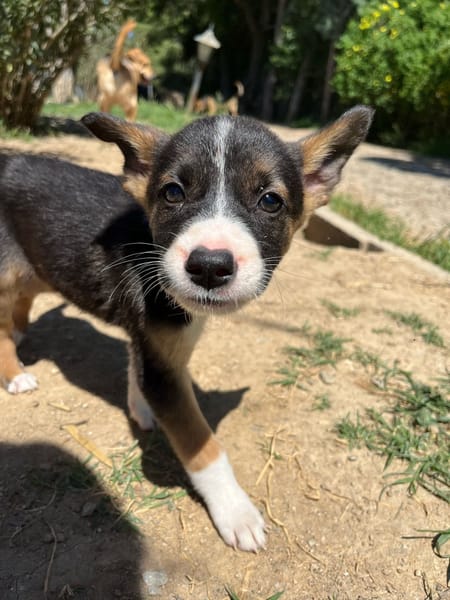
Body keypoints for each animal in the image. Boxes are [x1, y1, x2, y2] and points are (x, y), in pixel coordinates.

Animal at [0, 106, 373, 551]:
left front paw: (139, 408)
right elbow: (202, 445)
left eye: (270, 200)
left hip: (32, 270)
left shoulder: (157, 348)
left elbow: (136, 367)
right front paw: (236, 512)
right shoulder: (164, 370)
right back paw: (15, 375)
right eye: (173, 193)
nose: (209, 266)